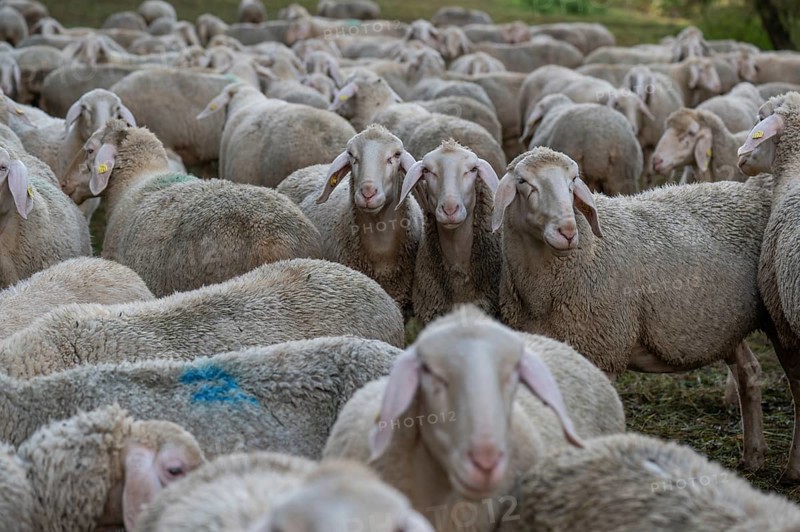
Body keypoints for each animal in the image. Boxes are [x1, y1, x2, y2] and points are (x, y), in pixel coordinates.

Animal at [492, 147, 773, 472]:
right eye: (523, 182)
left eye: (573, 180)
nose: (568, 231)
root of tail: (751, 190)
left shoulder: (603, 349)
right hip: (726, 326)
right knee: (749, 372)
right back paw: (754, 456)